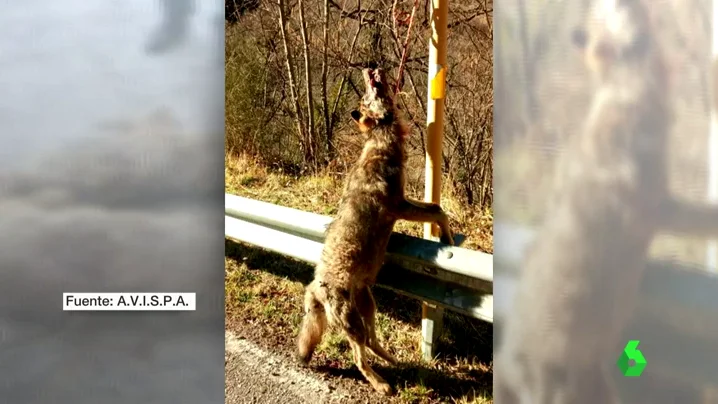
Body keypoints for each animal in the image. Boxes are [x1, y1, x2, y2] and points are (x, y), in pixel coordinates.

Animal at [298, 67, 456, 394]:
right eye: (367, 97)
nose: (369, 68)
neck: (380, 142)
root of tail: (315, 285)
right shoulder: (400, 206)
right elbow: (437, 210)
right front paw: (448, 240)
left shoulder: (405, 201)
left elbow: (436, 207)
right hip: (355, 324)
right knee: (359, 358)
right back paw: (382, 384)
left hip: (368, 305)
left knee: (372, 341)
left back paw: (394, 361)